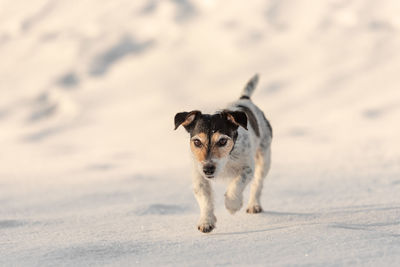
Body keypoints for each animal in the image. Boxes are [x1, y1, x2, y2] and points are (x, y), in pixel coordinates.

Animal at [174, 74, 272, 233]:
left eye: (222, 141)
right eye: (197, 142)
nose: (208, 169)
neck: (226, 162)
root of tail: (244, 99)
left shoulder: (247, 168)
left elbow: (237, 184)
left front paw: (232, 205)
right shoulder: (198, 173)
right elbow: (204, 196)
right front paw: (206, 221)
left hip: (264, 156)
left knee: (258, 182)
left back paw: (254, 205)